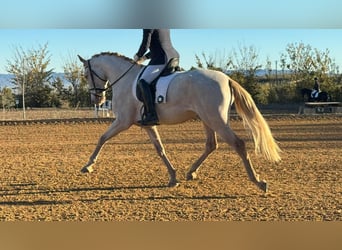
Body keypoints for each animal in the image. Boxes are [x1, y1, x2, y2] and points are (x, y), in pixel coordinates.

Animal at [77, 51, 280, 192]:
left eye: (86, 75)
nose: (97, 100)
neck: (126, 80)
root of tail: (227, 78)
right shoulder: (148, 125)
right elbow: (160, 149)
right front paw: (173, 177)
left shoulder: (122, 121)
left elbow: (102, 138)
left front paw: (88, 166)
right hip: (208, 119)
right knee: (211, 144)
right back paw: (191, 172)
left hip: (216, 120)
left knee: (238, 144)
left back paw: (258, 181)